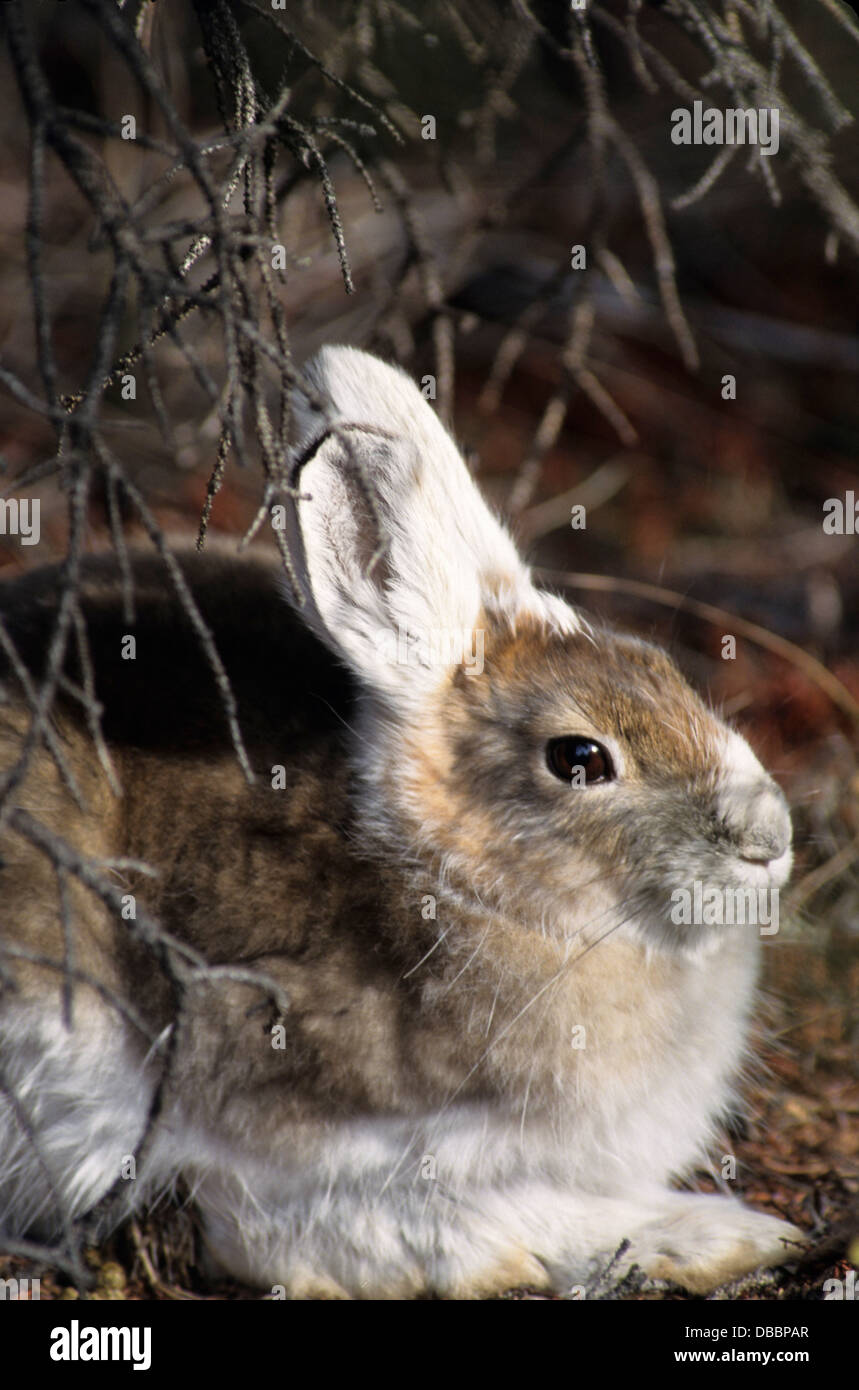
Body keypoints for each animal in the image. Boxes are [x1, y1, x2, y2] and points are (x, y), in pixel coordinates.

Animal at [0, 346, 805, 1299]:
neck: (458, 883)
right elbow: (391, 1228)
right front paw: (720, 1235)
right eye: (579, 759)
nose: (768, 840)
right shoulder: (279, 1143)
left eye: (662, 669)